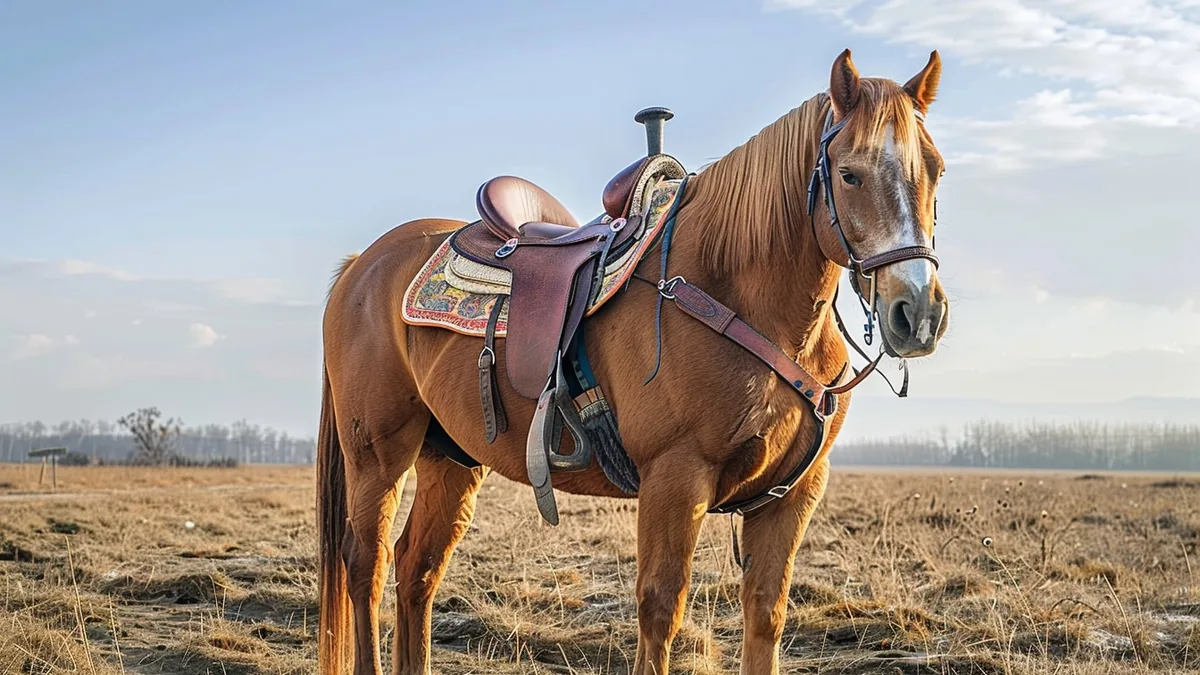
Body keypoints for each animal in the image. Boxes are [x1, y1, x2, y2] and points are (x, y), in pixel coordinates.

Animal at [316, 48, 950, 675]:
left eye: (937, 169)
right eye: (849, 173)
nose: (917, 311)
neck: (738, 294)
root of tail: (360, 266)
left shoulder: (793, 495)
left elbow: (766, 614)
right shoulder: (675, 478)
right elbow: (660, 609)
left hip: (451, 458)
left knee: (416, 569)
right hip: (378, 454)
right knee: (366, 564)